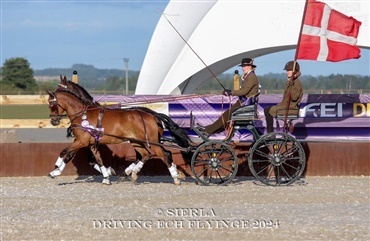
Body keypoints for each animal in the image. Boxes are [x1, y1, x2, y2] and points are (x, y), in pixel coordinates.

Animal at [46, 89, 191, 185]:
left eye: (51, 104)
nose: (53, 121)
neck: (83, 114)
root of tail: (152, 115)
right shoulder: (91, 144)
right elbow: (98, 160)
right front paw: (106, 177)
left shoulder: (82, 141)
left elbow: (65, 152)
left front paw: (55, 169)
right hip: (137, 142)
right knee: (146, 154)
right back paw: (133, 173)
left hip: (151, 142)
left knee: (165, 154)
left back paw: (176, 178)